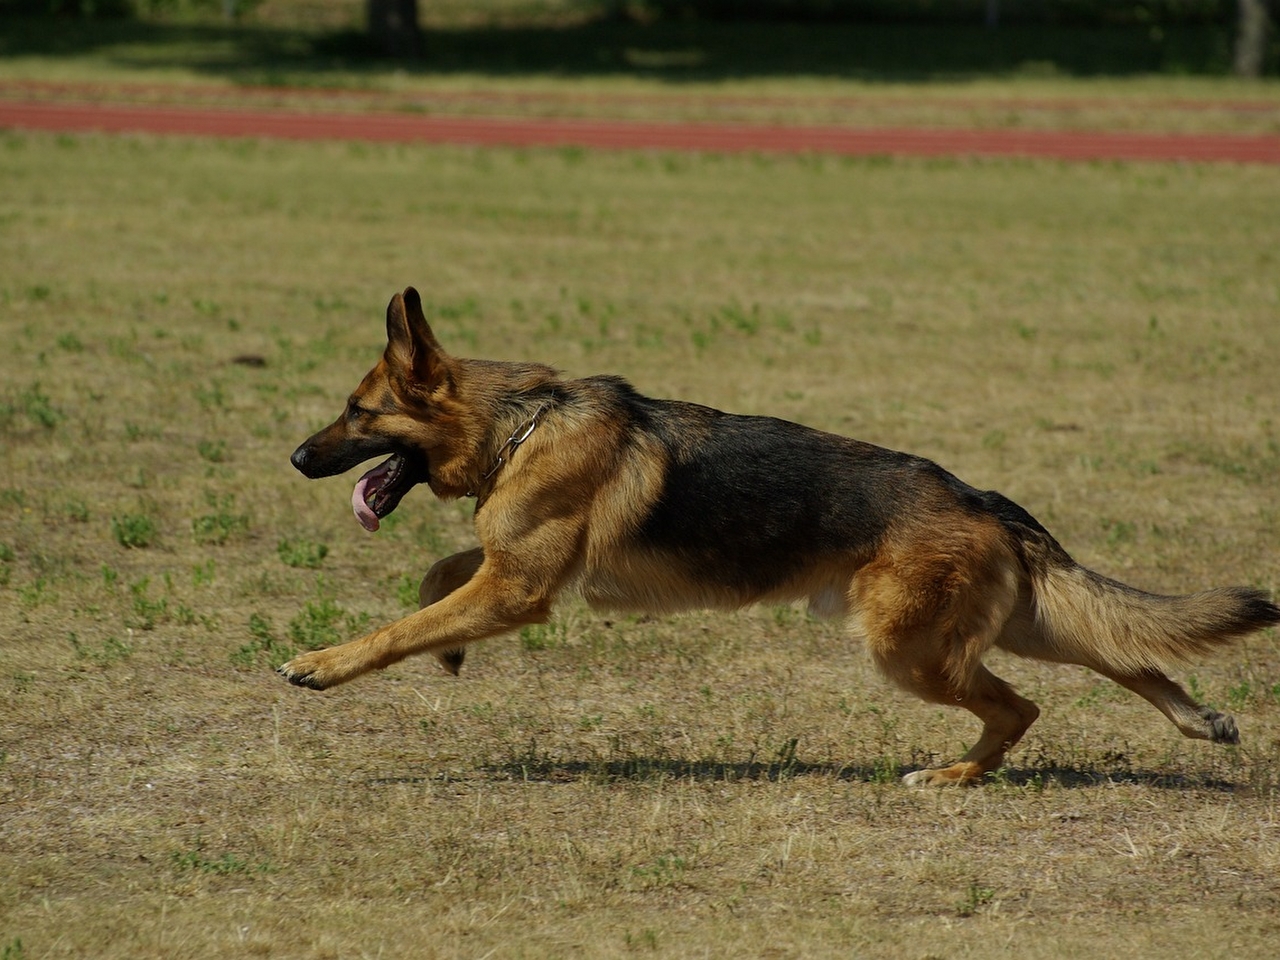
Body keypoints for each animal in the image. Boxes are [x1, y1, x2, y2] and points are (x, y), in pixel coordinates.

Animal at [282, 288, 1280, 788]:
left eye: (357, 412)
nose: (294, 457)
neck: (522, 423)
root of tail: (985, 500)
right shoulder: (510, 573)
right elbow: (439, 580)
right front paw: (446, 650)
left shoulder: (517, 589)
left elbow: (403, 626)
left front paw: (324, 663)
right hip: (1007, 624)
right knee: (1123, 651)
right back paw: (1198, 719)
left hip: (910, 650)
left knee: (1022, 707)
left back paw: (954, 776)